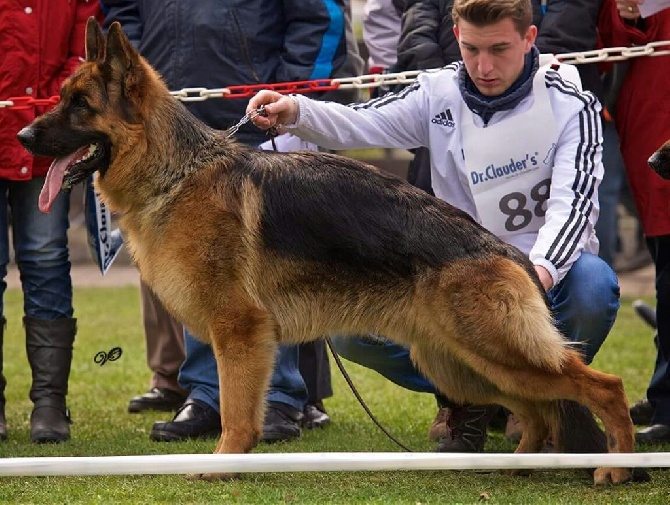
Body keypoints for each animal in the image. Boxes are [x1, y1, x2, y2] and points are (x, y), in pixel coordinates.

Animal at [18, 18, 640, 484]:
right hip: (461, 365)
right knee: (536, 408)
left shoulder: (239, 333)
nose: (22, 138)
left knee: (601, 386)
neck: (178, 172)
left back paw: (617, 466)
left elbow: (238, 415)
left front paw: (222, 466)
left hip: (493, 352)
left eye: (79, 106)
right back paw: (520, 462)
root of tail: (511, 256)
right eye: (59, 100)